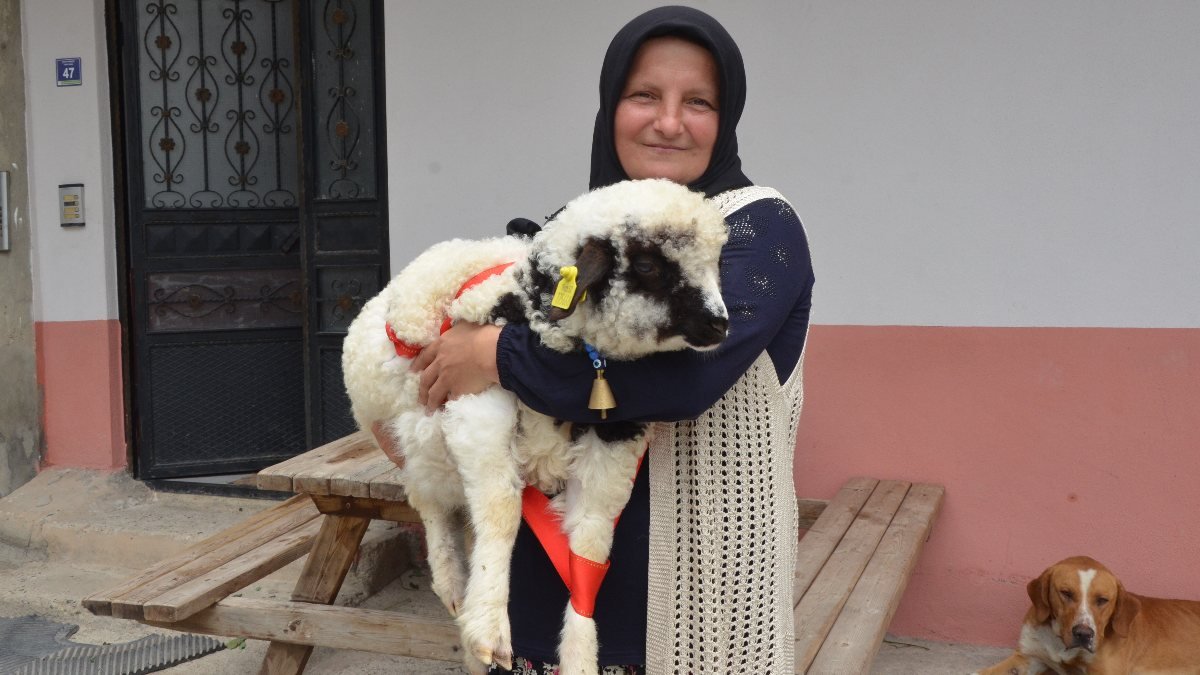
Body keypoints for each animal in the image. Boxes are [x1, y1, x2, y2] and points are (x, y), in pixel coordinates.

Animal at [340, 176, 729, 667]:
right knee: (431, 506)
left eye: (716, 261)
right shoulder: (476, 399)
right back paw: (453, 584)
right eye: (646, 264)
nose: (720, 326)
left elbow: (589, 546)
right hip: (415, 440)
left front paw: (579, 656)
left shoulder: (616, 434)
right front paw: (489, 625)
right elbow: (501, 510)